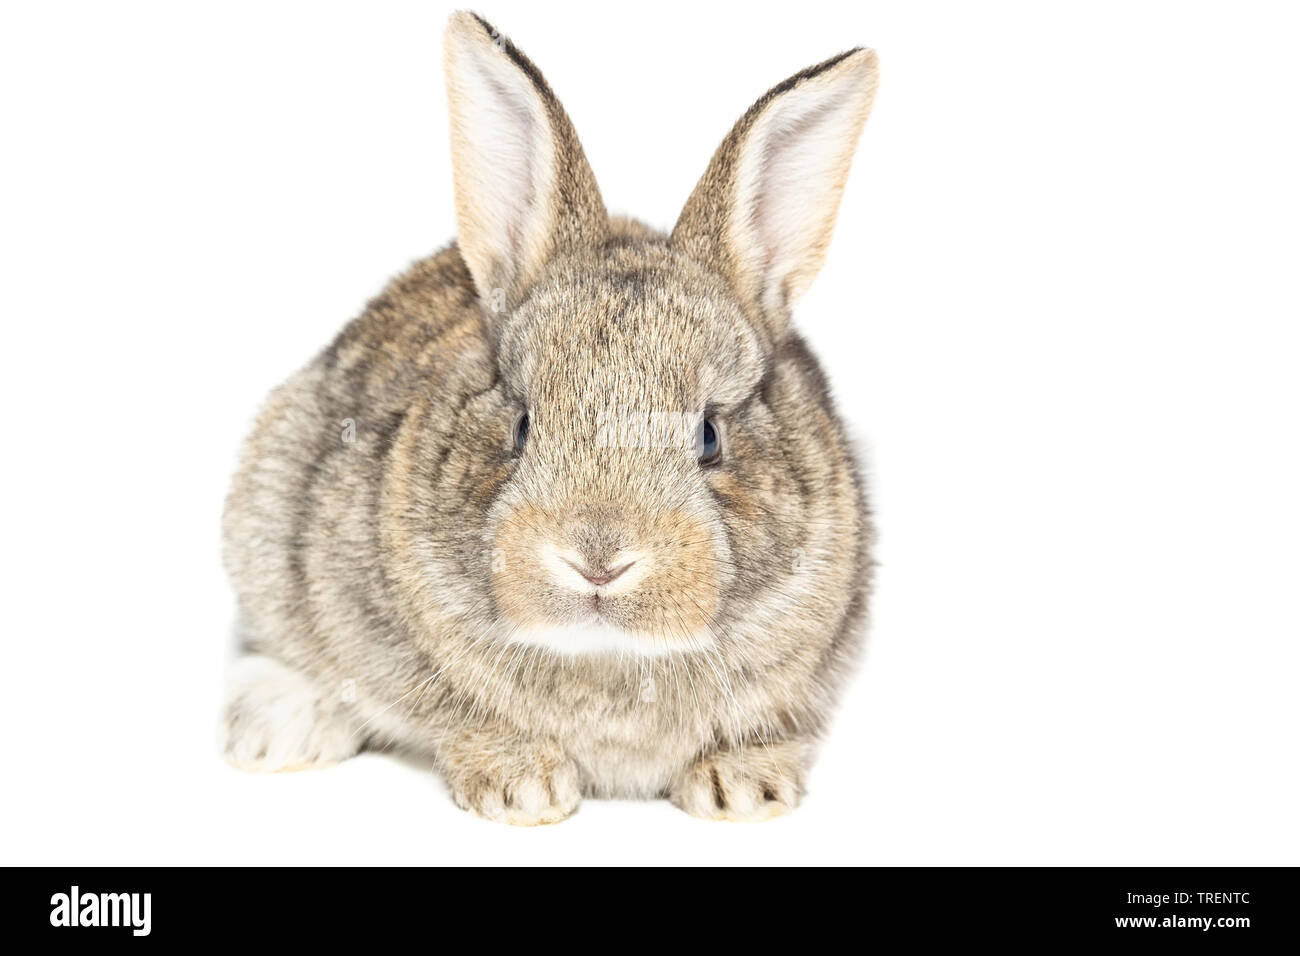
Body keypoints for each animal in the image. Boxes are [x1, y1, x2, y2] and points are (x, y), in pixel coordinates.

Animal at [218, 11, 878, 827]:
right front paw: (522, 790)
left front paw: (746, 790)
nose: (598, 559)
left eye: (709, 436)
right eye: (523, 425)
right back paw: (277, 729)